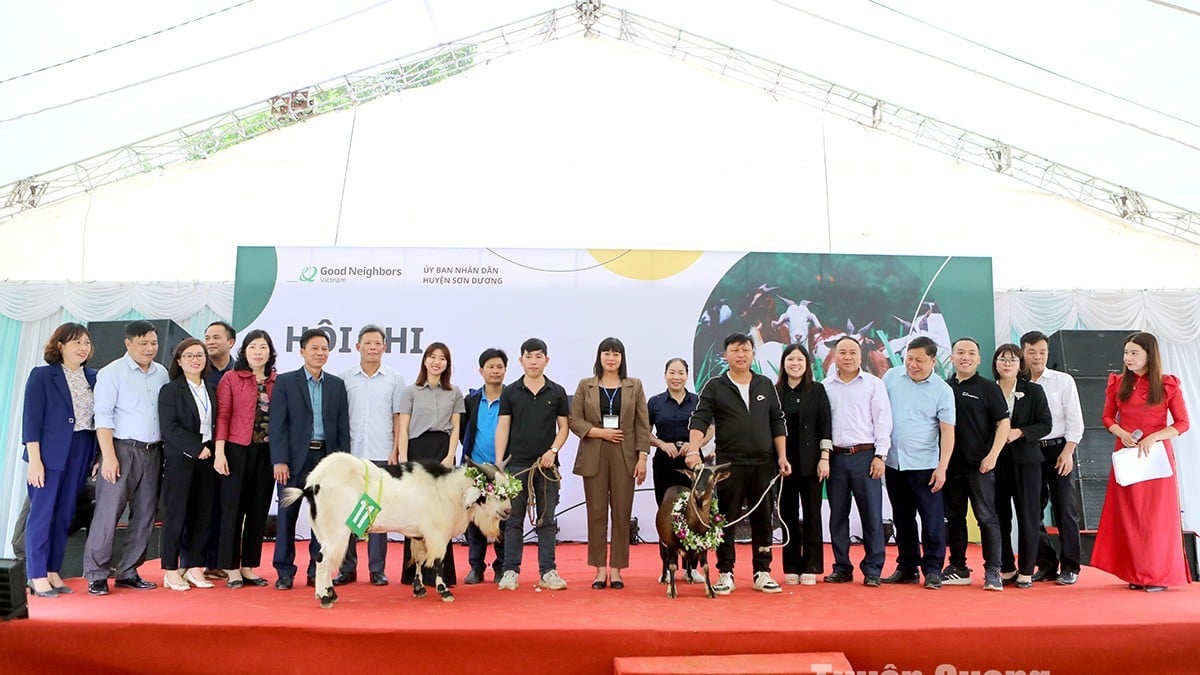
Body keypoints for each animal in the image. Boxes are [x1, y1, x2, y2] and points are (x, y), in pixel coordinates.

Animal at [283, 451, 513, 605]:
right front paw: (445, 591)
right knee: (323, 559)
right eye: (494, 491)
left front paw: (419, 589)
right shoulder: (437, 533)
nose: (508, 511)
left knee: (325, 558)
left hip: (323, 530)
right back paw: (324, 597)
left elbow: (419, 559)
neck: (447, 489)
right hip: (337, 530)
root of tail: (313, 484)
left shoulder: (420, 535)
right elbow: (438, 560)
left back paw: (330, 593)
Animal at [657, 458, 729, 595]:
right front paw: (672, 591)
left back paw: (690, 577)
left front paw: (711, 591)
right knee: (665, 559)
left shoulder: (704, 545)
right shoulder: (671, 544)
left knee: (688, 559)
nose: (699, 490)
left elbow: (705, 566)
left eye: (712, 477)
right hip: (662, 541)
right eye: (695, 475)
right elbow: (672, 565)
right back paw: (664, 578)